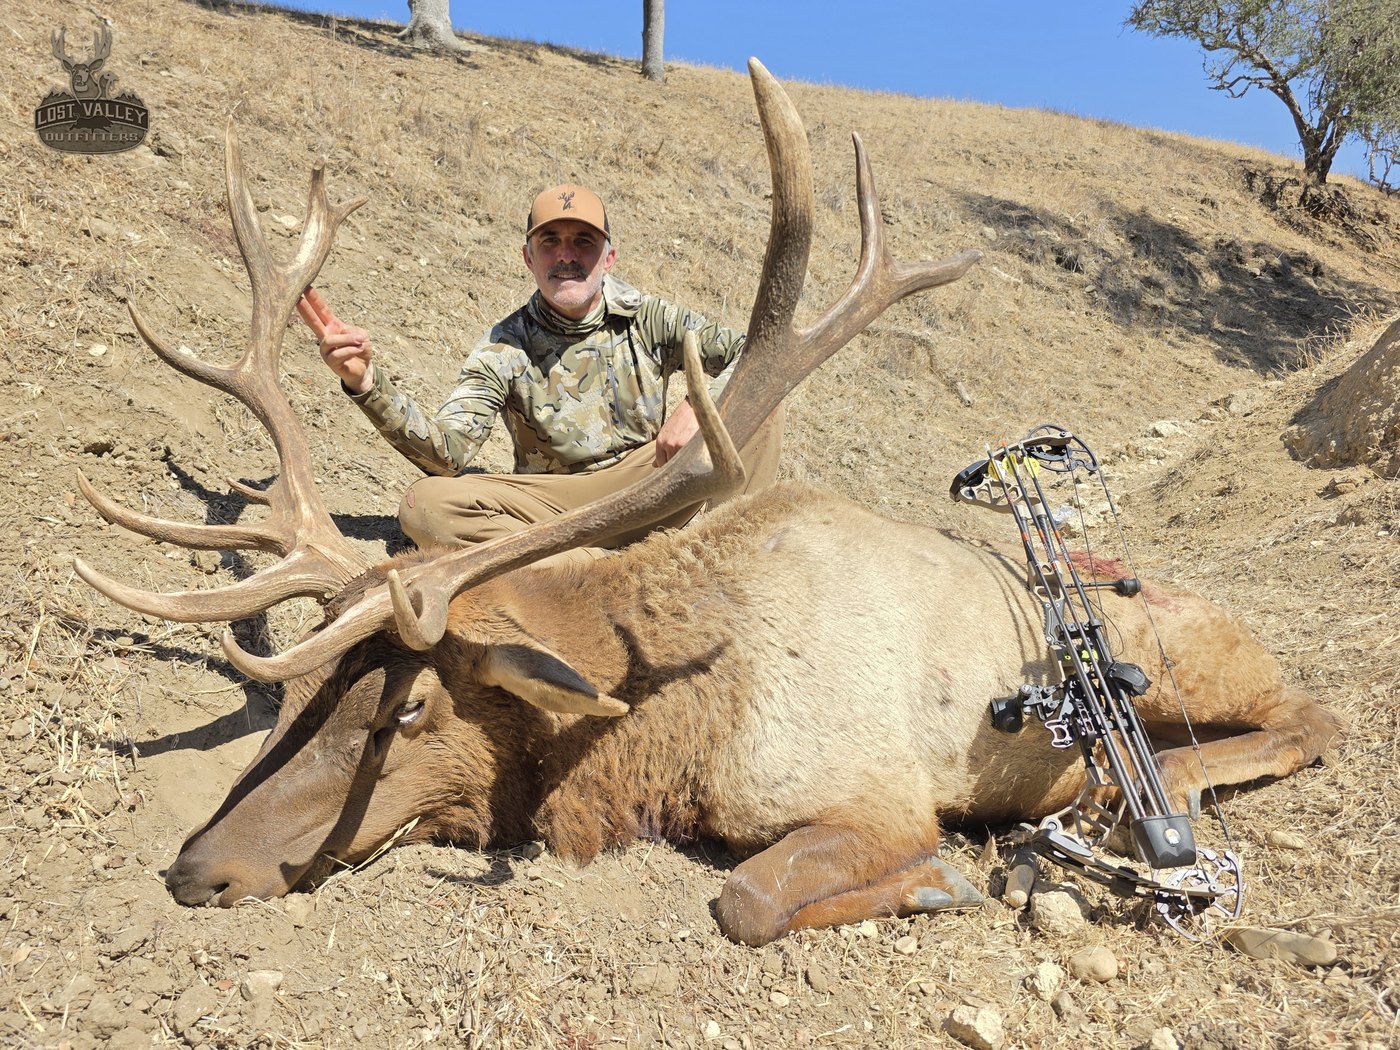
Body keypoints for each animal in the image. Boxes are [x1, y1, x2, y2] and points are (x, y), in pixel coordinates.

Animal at [74, 60, 1342, 946]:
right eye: (306, 696)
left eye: (407, 713)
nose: (195, 867)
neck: (675, 724)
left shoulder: (876, 792)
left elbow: (747, 898)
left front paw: (943, 882)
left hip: (1181, 663)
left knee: (1305, 712)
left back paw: (1137, 792)